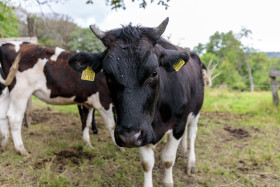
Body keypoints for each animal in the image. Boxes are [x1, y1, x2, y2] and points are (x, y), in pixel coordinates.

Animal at [70, 17, 206, 187]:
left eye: (154, 72)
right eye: (107, 75)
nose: (128, 137)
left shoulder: (178, 124)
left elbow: (168, 160)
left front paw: (168, 180)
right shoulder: (141, 132)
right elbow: (147, 163)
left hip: (196, 111)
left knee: (192, 133)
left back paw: (191, 163)